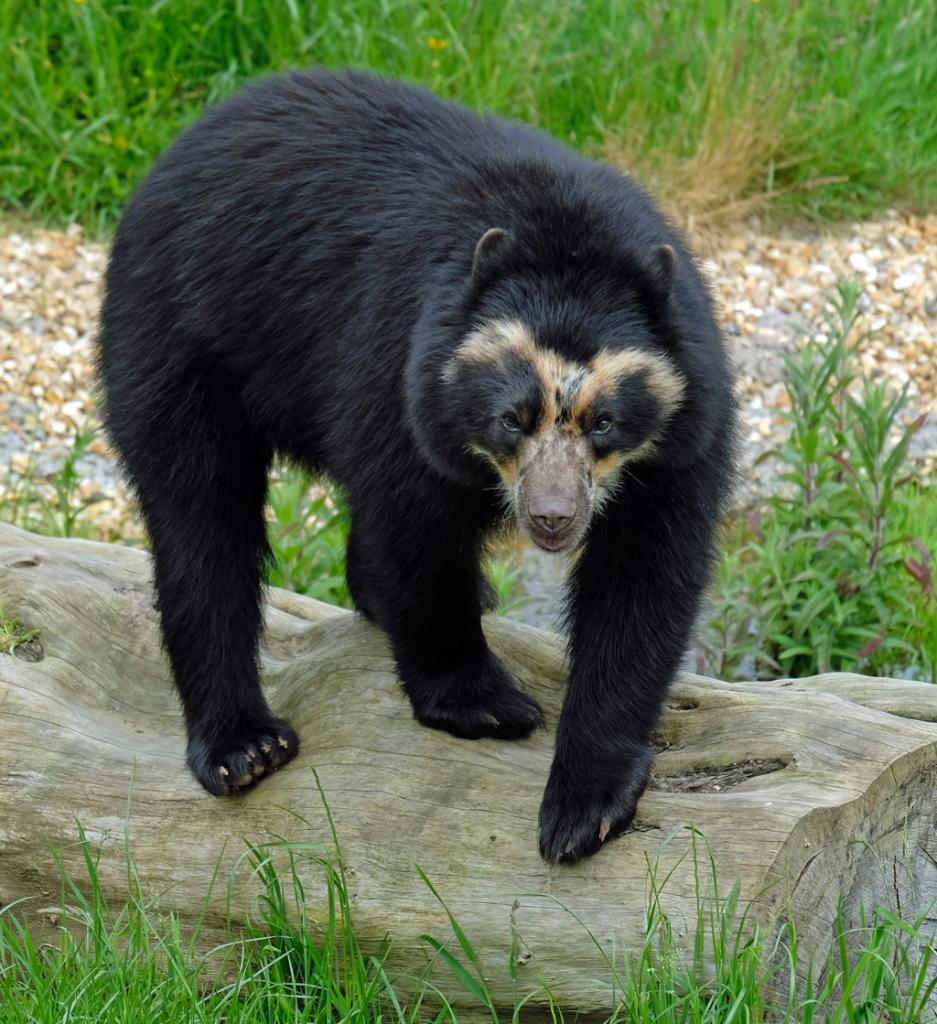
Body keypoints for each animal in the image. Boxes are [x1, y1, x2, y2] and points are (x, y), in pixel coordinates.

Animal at [97, 66, 741, 864]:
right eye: (511, 419)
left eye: (604, 421)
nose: (552, 519)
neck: (564, 235)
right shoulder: (396, 366)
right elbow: (412, 527)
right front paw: (486, 705)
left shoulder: (683, 435)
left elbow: (644, 575)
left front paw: (583, 807)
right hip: (177, 334)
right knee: (200, 518)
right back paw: (243, 746)